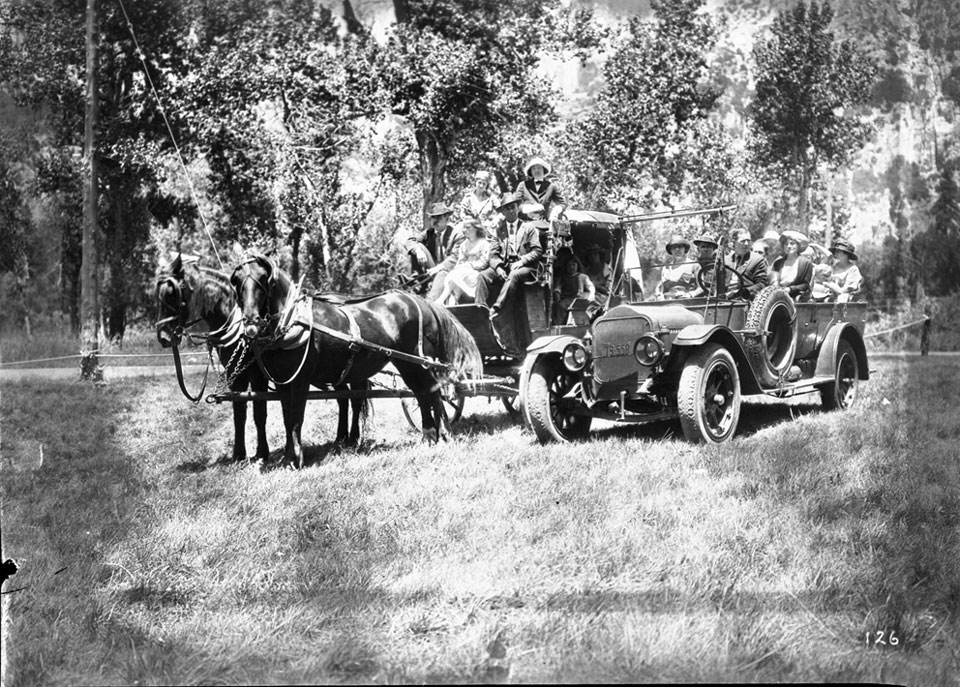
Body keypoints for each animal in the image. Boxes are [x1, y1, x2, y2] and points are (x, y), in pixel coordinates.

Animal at [156, 255, 270, 464]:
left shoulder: (259, 375)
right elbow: (239, 412)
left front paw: (262, 453)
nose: (164, 337)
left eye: (172, 293)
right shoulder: (235, 373)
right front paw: (239, 454)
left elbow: (259, 412)